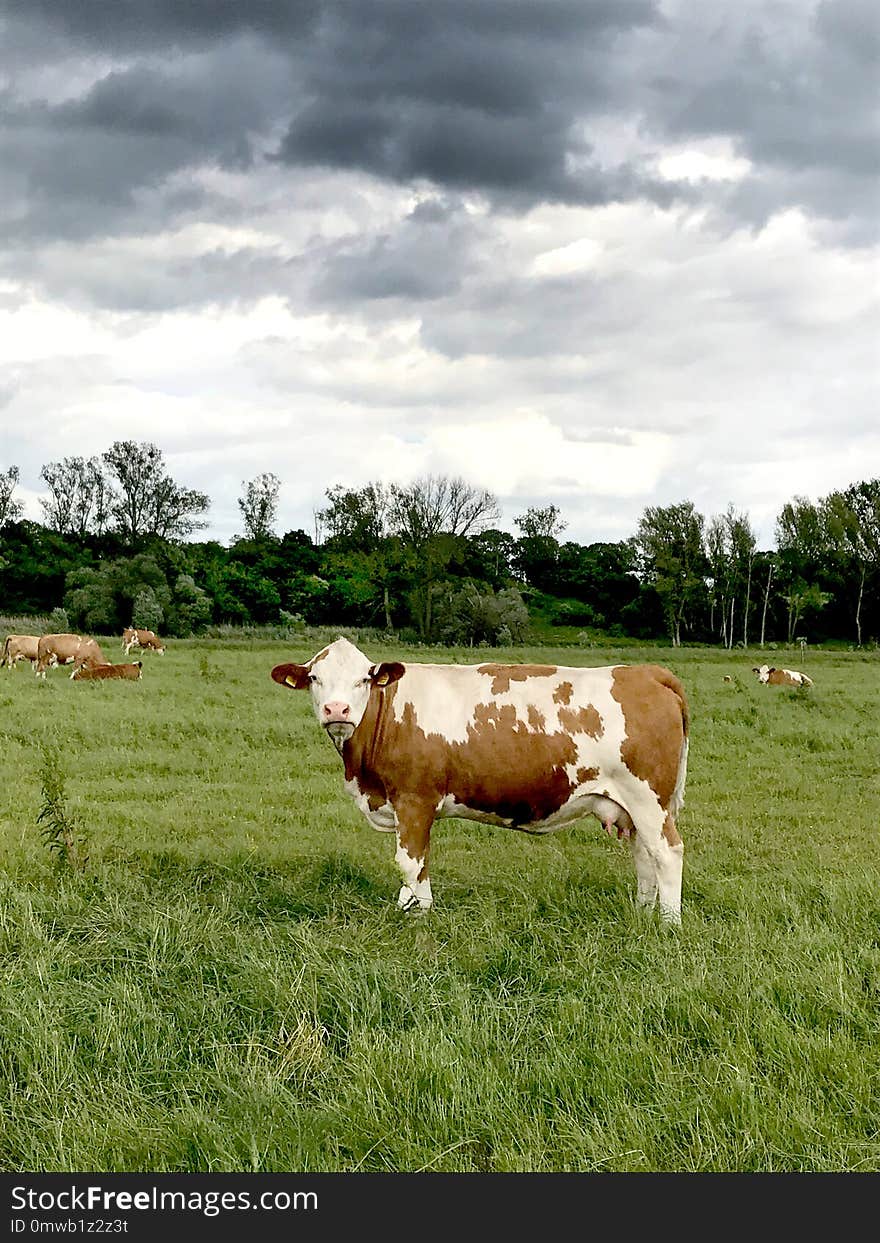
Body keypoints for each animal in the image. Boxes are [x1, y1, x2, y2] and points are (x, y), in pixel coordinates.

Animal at [270, 641, 691, 924]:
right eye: (315, 678)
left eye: (363, 680)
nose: (336, 709)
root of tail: (646, 672)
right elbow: (416, 864)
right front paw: (411, 908)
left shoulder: (413, 799)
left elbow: (410, 862)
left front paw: (417, 916)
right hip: (632, 806)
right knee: (644, 856)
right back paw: (642, 912)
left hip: (648, 798)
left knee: (667, 853)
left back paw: (668, 924)